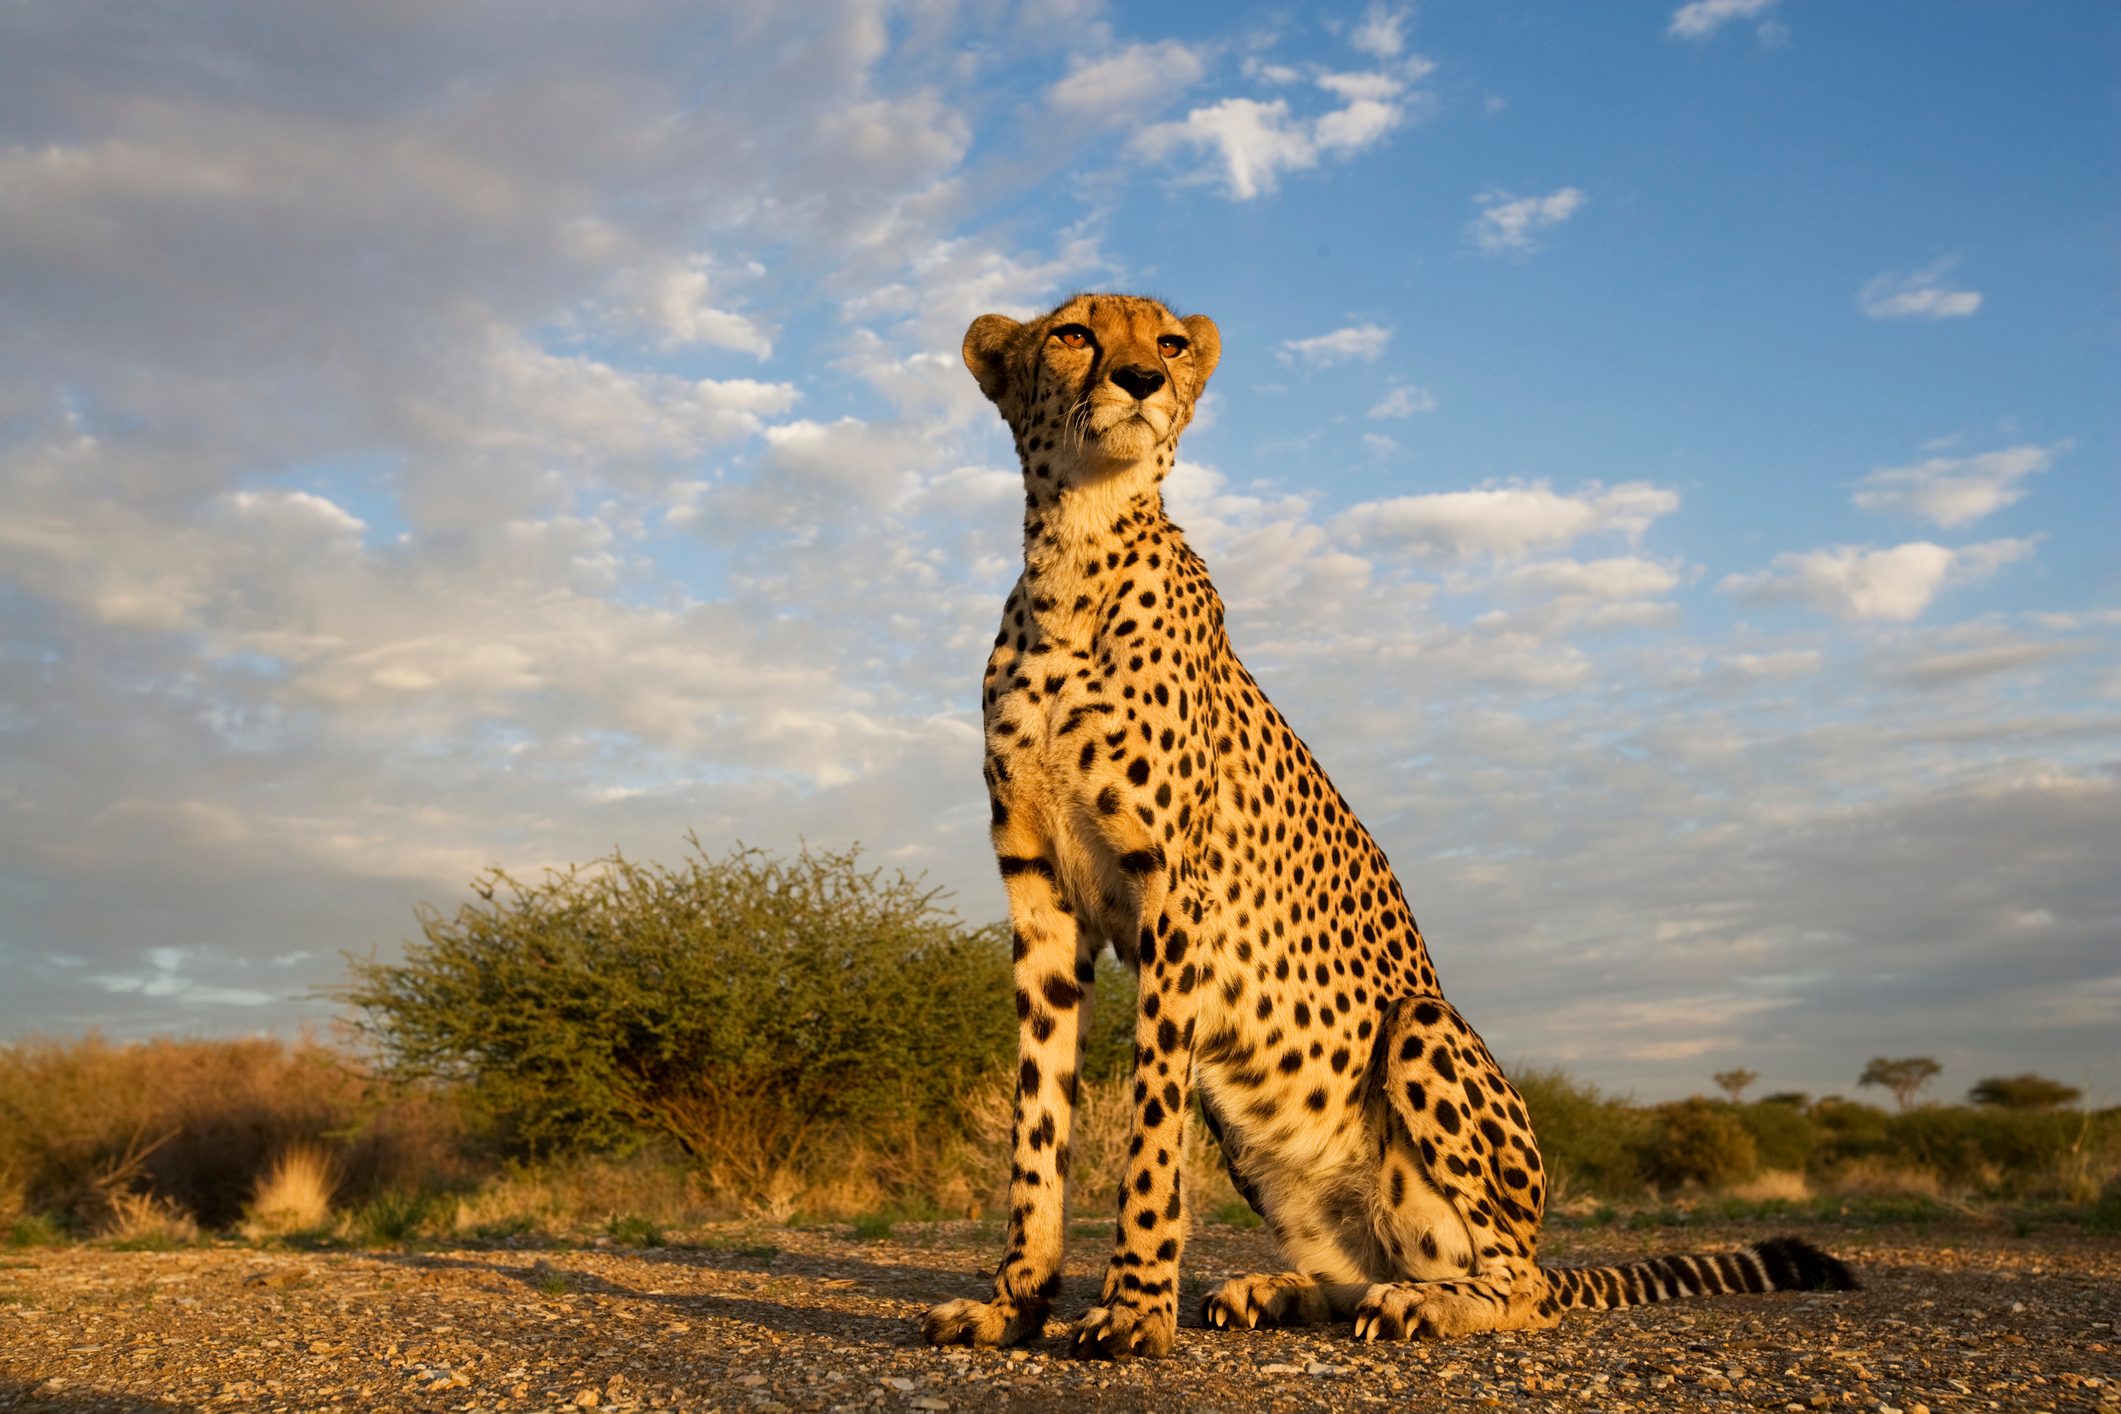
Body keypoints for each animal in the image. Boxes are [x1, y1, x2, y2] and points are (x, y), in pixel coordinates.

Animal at [922, 292, 1855, 1359]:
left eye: (1165, 341)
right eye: (1074, 334)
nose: (1142, 382)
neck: (1075, 560)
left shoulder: (1174, 900)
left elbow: (1150, 1136)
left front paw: (1132, 1311)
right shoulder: (1039, 898)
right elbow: (1036, 1129)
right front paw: (1014, 1304)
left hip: (1421, 1029)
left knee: (1515, 1282)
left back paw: (1432, 1303)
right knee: (1363, 1266)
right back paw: (1282, 1290)